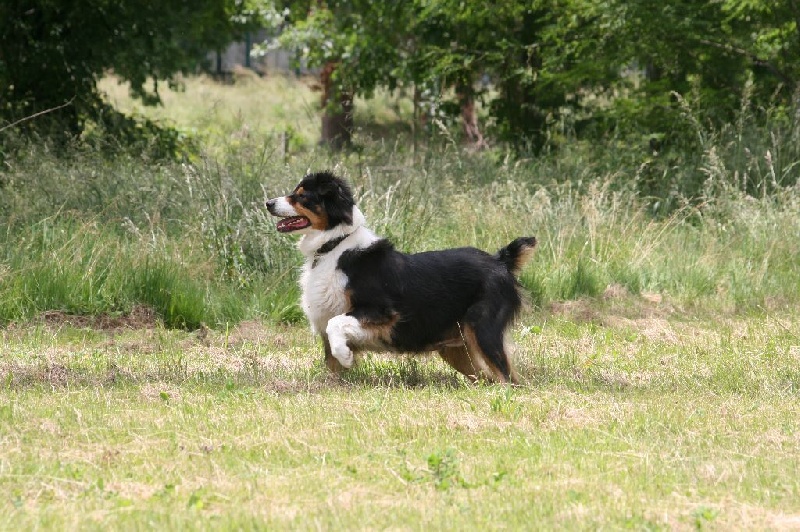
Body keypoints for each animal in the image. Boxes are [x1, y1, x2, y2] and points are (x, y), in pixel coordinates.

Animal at [268, 172, 536, 384]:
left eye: (302, 195)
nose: (268, 202)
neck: (333, 246)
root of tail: (500, 261)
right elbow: (332, 363)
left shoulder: (382, 312)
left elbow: (336, 325)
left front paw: (347, 357)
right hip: (459, 349)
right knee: (489, 377)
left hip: (483, 331)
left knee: (509, 378)